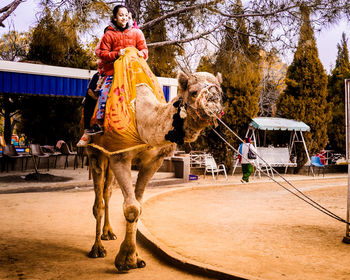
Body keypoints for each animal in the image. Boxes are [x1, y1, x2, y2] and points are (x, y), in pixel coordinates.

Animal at [86, 64, 223, 272]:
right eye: (193, 92)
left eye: (221, 93)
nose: (214, 105)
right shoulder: (120, 156)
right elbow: (132, 207)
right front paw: (126, 261)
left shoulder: (154, 161)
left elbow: (139, 206)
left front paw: (134, 258)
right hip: (95, 151)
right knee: (98, 201)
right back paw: (97, 249)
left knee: (107, 191)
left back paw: (108, 233)